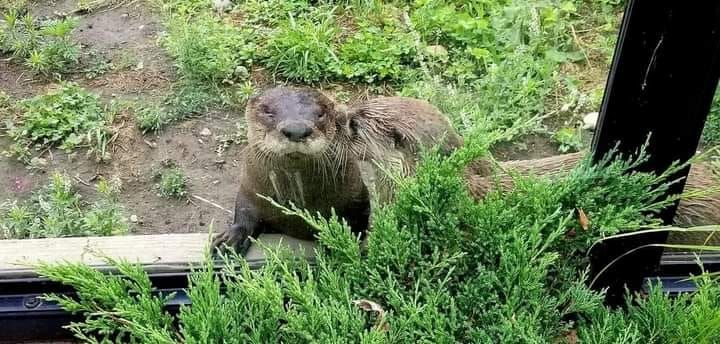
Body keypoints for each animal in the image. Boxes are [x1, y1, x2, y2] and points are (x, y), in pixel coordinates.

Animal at [214, 86, 372, 253]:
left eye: (321, 114)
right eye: (268, 112)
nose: (297, 130)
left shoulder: (356, 199)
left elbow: (356, 223)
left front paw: (338, 242)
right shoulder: (249, 191)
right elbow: (244, 213)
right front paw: (229, 240)